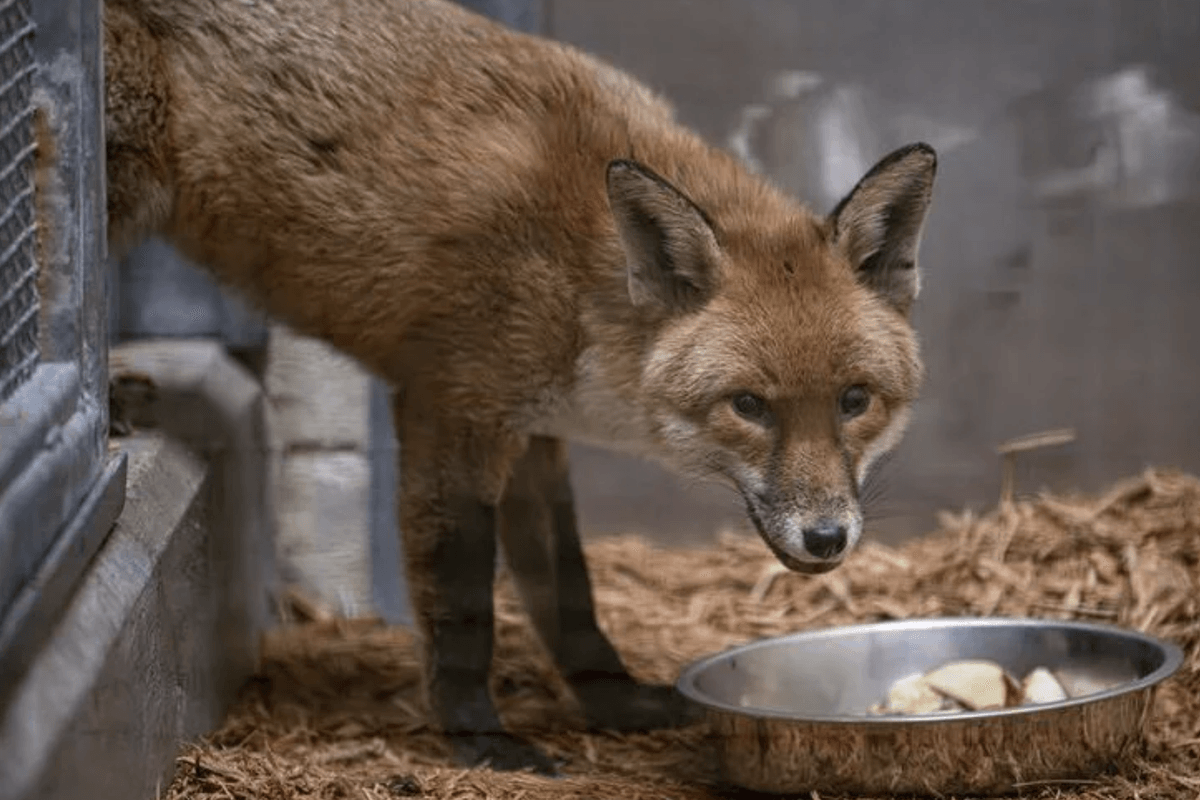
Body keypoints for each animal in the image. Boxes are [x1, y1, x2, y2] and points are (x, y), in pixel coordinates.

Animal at [99, 0, 936, 774]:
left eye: (854, 401)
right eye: (750, 407)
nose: (827, 537)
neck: (579, 280)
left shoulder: (537, 433)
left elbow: (570, 596)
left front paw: (615, 704)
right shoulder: (451, 411)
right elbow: (465, 604)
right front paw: (480, 738)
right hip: (125, 179)